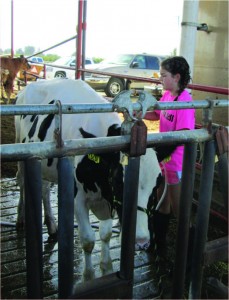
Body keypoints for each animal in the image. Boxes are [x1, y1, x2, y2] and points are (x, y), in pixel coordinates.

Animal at [14, 78, 163, 282]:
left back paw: (51, 225)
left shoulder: (108, 199)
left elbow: (105, 234)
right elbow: (88, 240)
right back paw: (21, 218)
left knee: (44, 189)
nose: (141, 241)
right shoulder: (78, 199)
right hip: (22, 153)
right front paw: (88, 276)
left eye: (156, 186)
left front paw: (106, 267)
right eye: (118, 182)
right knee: (22, 182)